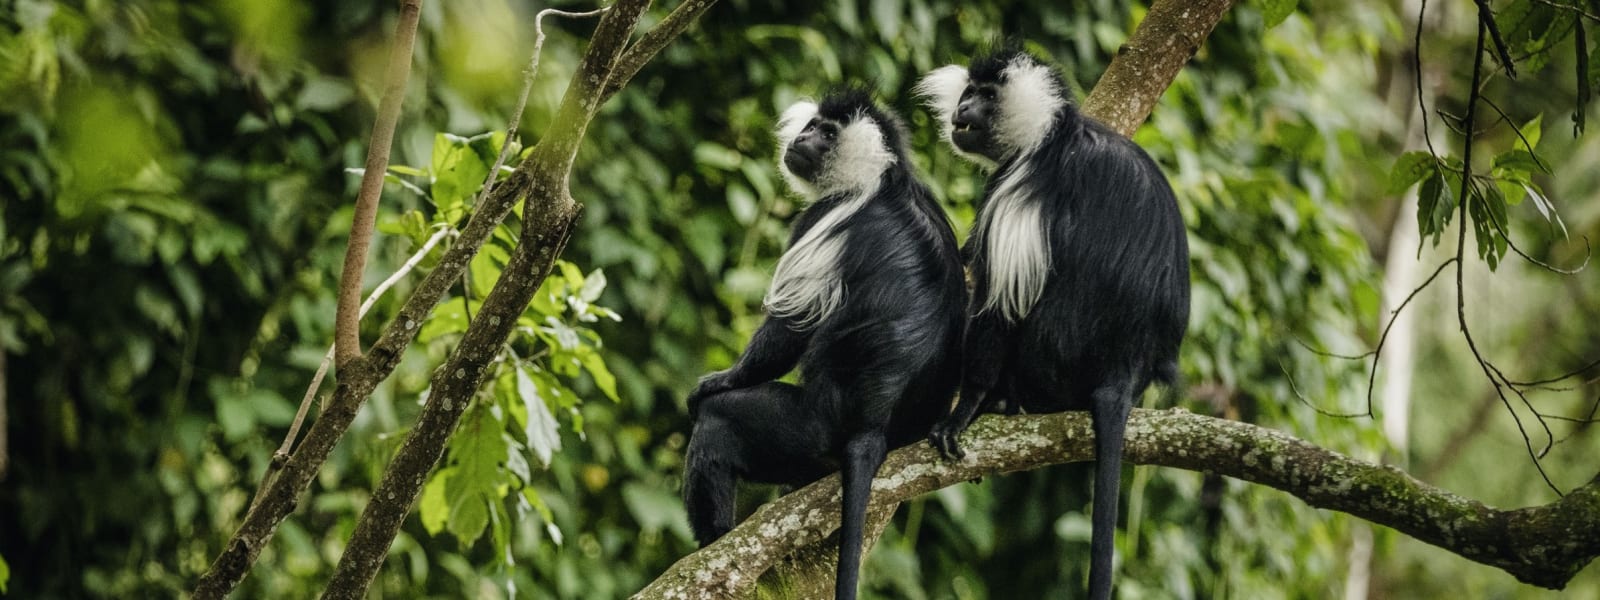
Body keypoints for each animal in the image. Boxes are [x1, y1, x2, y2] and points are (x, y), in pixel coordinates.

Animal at [682, 89, 966, 600]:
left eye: (827, 133)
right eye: (813, 125)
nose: (802, 138)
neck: (882, 178)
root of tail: (872, 426)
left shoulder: (824, 218)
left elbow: (789, 328)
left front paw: (717, 382)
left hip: (804, 429)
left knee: (720, 425)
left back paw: (713, 541)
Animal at [915, 47, 1191, 600]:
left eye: (985, 97)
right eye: (967, 93)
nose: (961, 110)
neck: (1050, 132)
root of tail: (1123, 369)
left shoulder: (1019, 187)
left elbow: (997, 303)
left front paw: (964, 410)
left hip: (1048, 360)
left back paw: (1001, 401)